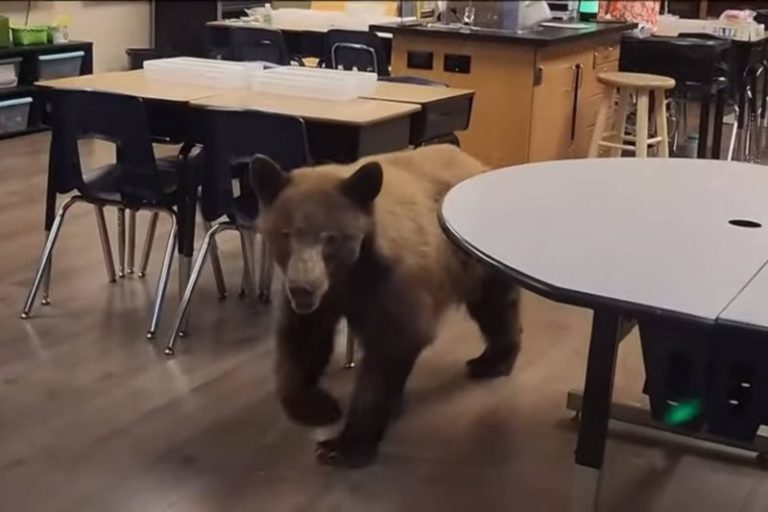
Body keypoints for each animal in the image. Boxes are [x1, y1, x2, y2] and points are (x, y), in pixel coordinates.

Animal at [252, 144, 520, 468]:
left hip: (475, 261)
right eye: (285, 234)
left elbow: (389, 350)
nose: (303, 288)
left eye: (331, 238)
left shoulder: (392, 285)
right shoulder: (323, 298)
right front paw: (317, 405)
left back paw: (492, 362)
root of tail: (476, 162)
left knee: (495, 307)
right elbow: (301, 340)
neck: (350, 273)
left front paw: (343, 445)